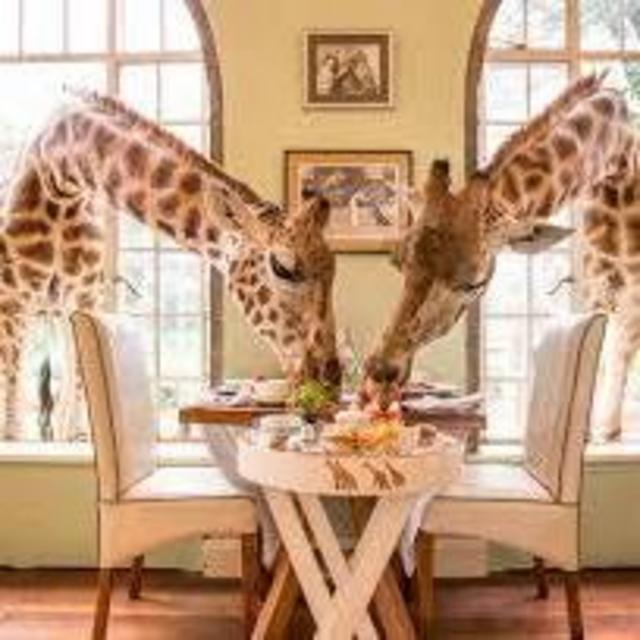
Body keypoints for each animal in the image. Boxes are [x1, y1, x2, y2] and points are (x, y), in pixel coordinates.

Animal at [0, 90, 340, 439]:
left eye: (334, 268)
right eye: (283, 268)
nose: (331, 382)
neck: (61, 175)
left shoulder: (84, 300)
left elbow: (72, 406)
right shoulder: (11, 303)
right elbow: (12, 418)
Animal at [364, 73, 640, 439]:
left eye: (474, 282)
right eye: (397, 262)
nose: (378, 376)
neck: (620, 165)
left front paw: (606, 431)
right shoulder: (600, 287)